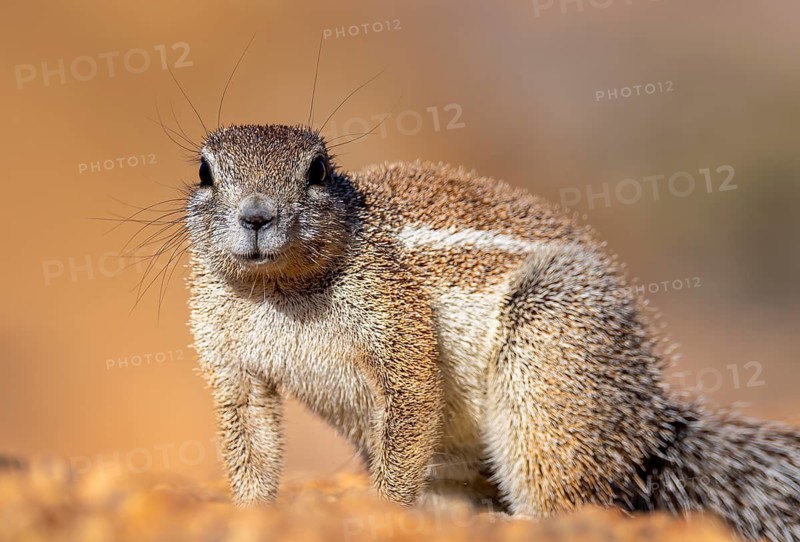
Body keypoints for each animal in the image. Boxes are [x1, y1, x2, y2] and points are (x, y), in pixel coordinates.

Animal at [183, 123, 800, 542]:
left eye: (316, 170)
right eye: (205, 171)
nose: (257, 215)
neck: (278, 290)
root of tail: (649, 429)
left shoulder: (395, 313)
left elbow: (412, 401)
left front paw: (382, 511)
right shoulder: (228, 359)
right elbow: (251, 440)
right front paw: (252, 514)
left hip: (548, 359)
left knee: (564, 494)